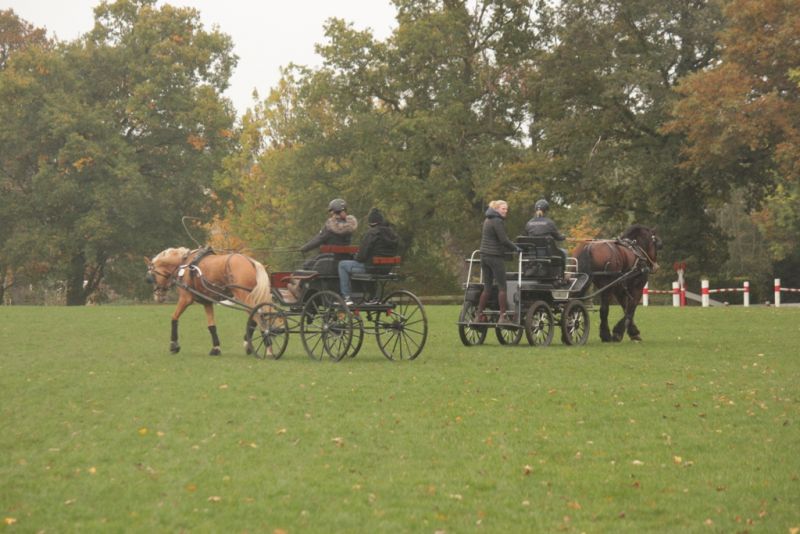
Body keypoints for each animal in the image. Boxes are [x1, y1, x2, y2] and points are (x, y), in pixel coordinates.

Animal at [145, 247, 273, 356]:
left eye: (152, 276)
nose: (157, 297)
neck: (184, 264)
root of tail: (251, 261)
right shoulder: (207, 302)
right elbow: (211, 326)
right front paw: (216, 348)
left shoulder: (185, 299)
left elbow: (174, 318)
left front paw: (174, 345)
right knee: (257, 317)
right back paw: (251, 345)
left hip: (244, 296)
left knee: (257, 318)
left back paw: (267, 350)